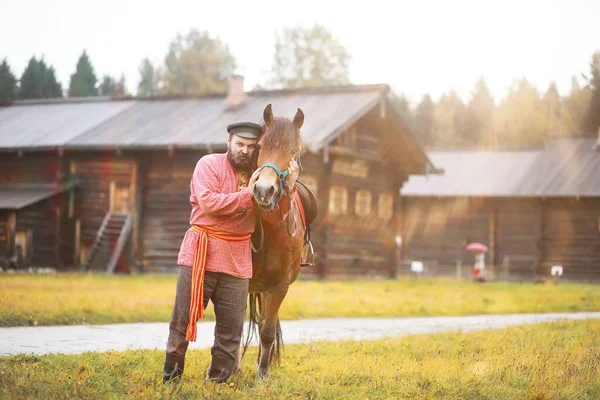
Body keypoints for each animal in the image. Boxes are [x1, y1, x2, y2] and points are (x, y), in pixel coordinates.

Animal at [237, 104, 308, 378]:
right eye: (260, 146)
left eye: (294, 151)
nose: (263, 191)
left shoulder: (279, 286)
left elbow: (267, 331)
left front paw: (262, 373)